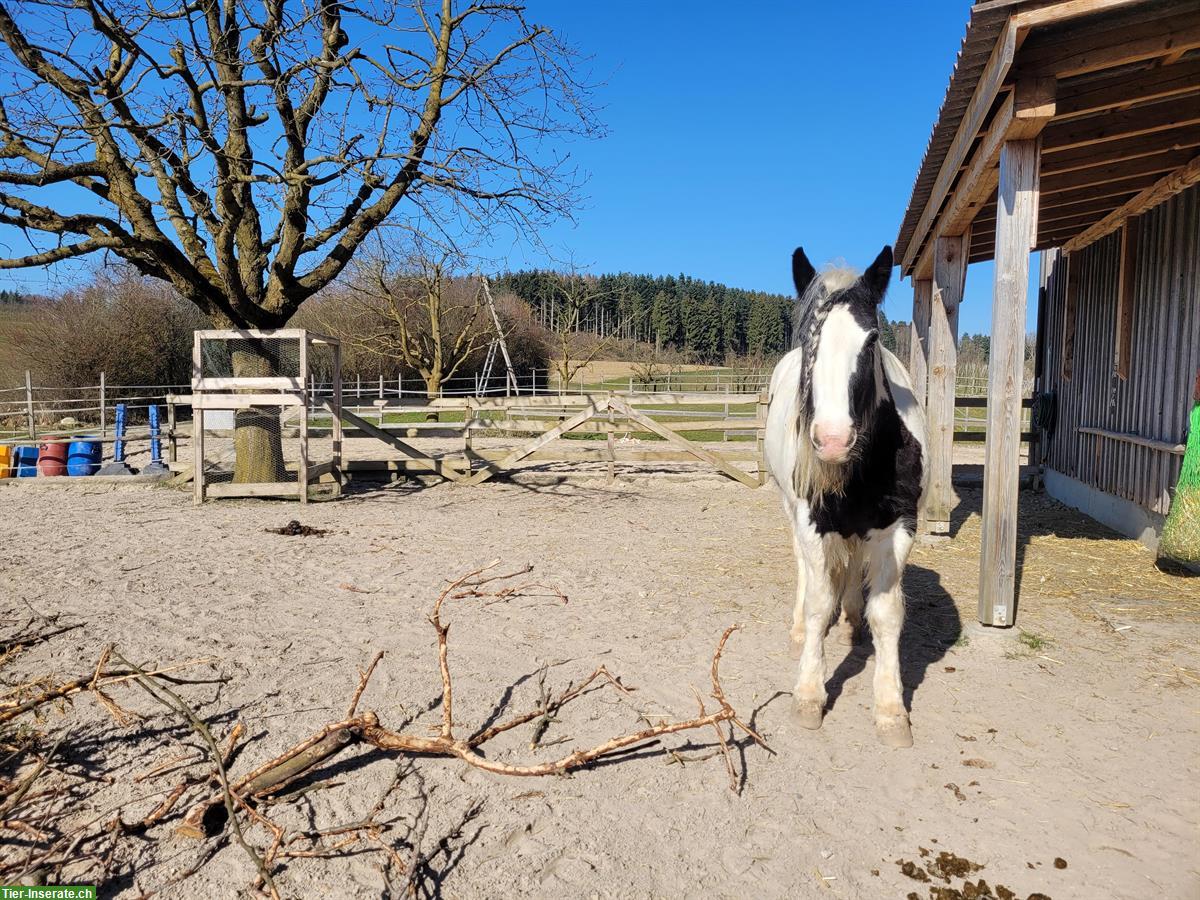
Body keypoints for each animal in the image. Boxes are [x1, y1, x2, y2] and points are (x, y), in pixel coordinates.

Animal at [768, 244, 926, 748]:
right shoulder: (811, 521)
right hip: (791, 513)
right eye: (808, 340)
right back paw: (801, 628)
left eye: (871, 340)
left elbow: (888, 613)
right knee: (805, 571)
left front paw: (891, 709)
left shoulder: (899, 527)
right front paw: (808, 695)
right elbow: (820, 603)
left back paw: (853, 621)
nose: (833, 440)